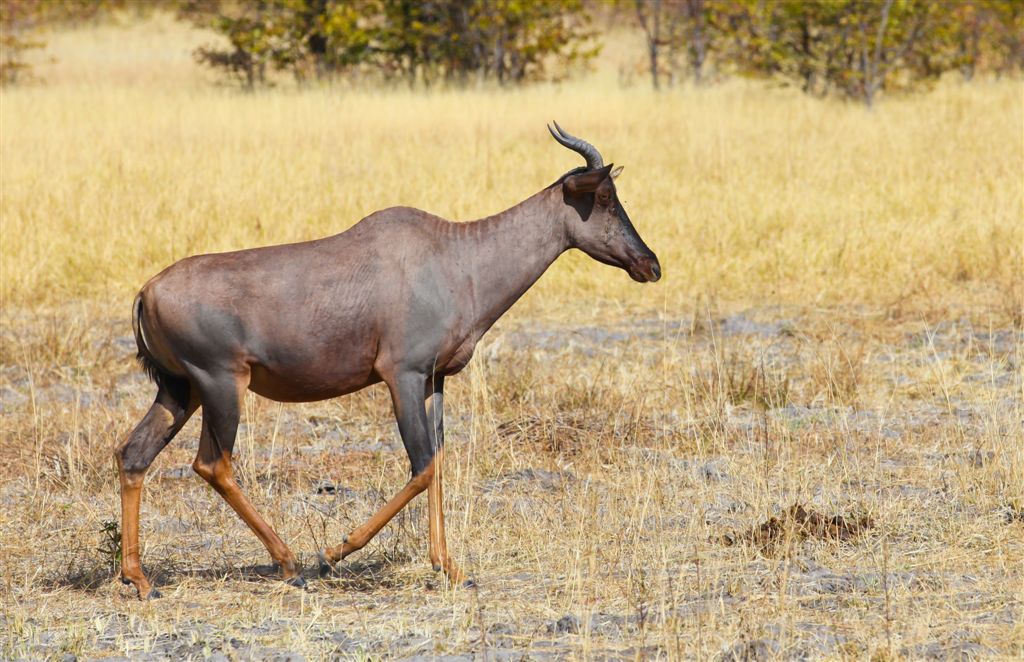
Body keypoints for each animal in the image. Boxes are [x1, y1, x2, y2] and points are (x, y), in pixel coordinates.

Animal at [117, 121, 663, 598]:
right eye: (603, 197)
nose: (649, 264)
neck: (454, 256)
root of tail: (146, 291)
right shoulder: (401, 375)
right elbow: (420, 467)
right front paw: (333, 553)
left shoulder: (435, 380)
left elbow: (438, 463)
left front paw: (452, 569)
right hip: (221, 384)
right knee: (213, 465)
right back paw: (292, 563)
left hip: (180, 389)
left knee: (134, 454)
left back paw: (140, 580)